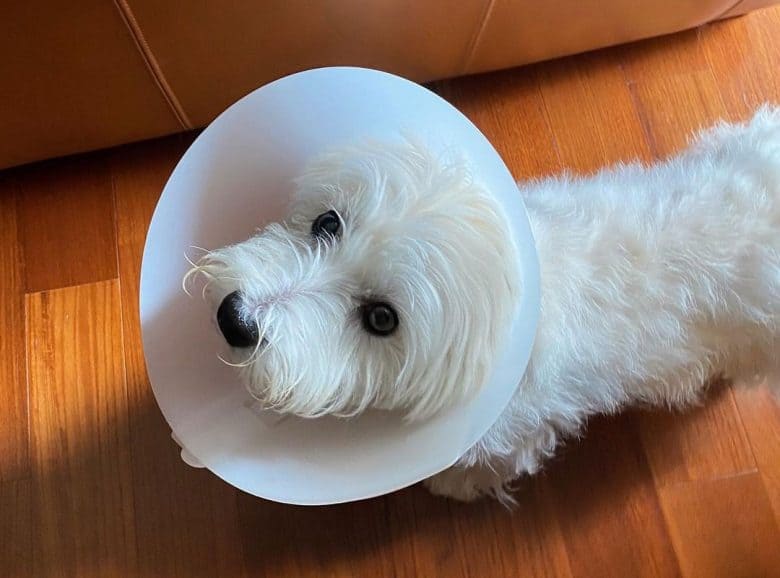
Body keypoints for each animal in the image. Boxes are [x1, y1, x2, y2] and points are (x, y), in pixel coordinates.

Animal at [189, 104, 780, 500]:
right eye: (326, 223)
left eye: (381, 318)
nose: (235, 319)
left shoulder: (517, 430)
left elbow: (495, 461)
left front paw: (456, 481)